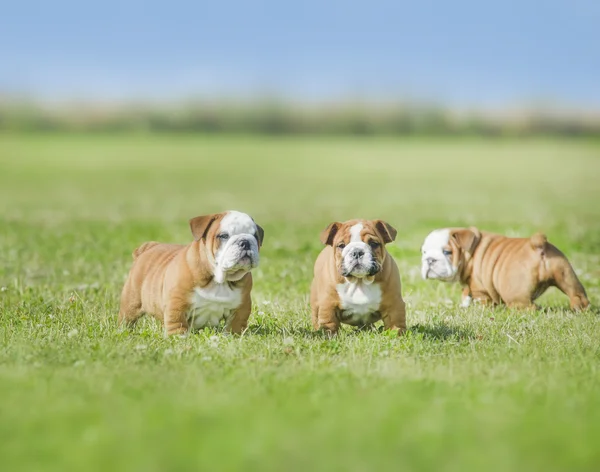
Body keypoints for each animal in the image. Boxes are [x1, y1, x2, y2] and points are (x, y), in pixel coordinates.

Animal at [118, 210, 264, 336]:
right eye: (223, 236)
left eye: (255, 236)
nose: (245, 242)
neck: (219, 279)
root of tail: (148, 247)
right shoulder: (177, 303)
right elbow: (177, 323)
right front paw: (178, 338)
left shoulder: (241, 306)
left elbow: (236, 324)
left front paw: (235, 336)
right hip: (131, 301)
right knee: (127, 318)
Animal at [422, 228, 592, 310]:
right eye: (423, 252)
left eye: (447, 252)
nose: (429, 260)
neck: (471, 253)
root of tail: (537, 245)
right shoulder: (470, 283)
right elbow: (466, 293)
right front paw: (464, 305)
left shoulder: (479, 287)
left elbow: (479, 298)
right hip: (565, 274)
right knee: (577, 295)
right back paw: (579, 309)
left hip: (514, 291)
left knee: (526, 306)